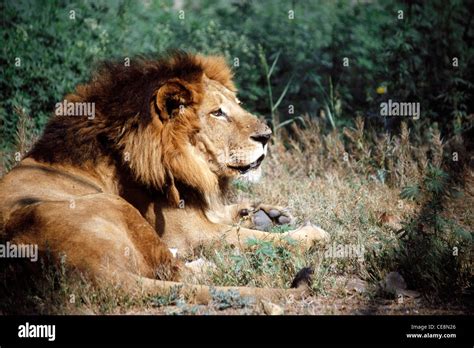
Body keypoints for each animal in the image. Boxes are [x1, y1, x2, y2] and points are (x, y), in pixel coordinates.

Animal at [0, 51, 330, 304]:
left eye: (237, 106)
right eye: (217, 113)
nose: (266, 136)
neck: (190, 165)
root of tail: (90, 272)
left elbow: (227, 213)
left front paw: (267, 213)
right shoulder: (195, 234)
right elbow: (253, 238)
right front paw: (308, 233)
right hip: (110, 205)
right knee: (175, 270)